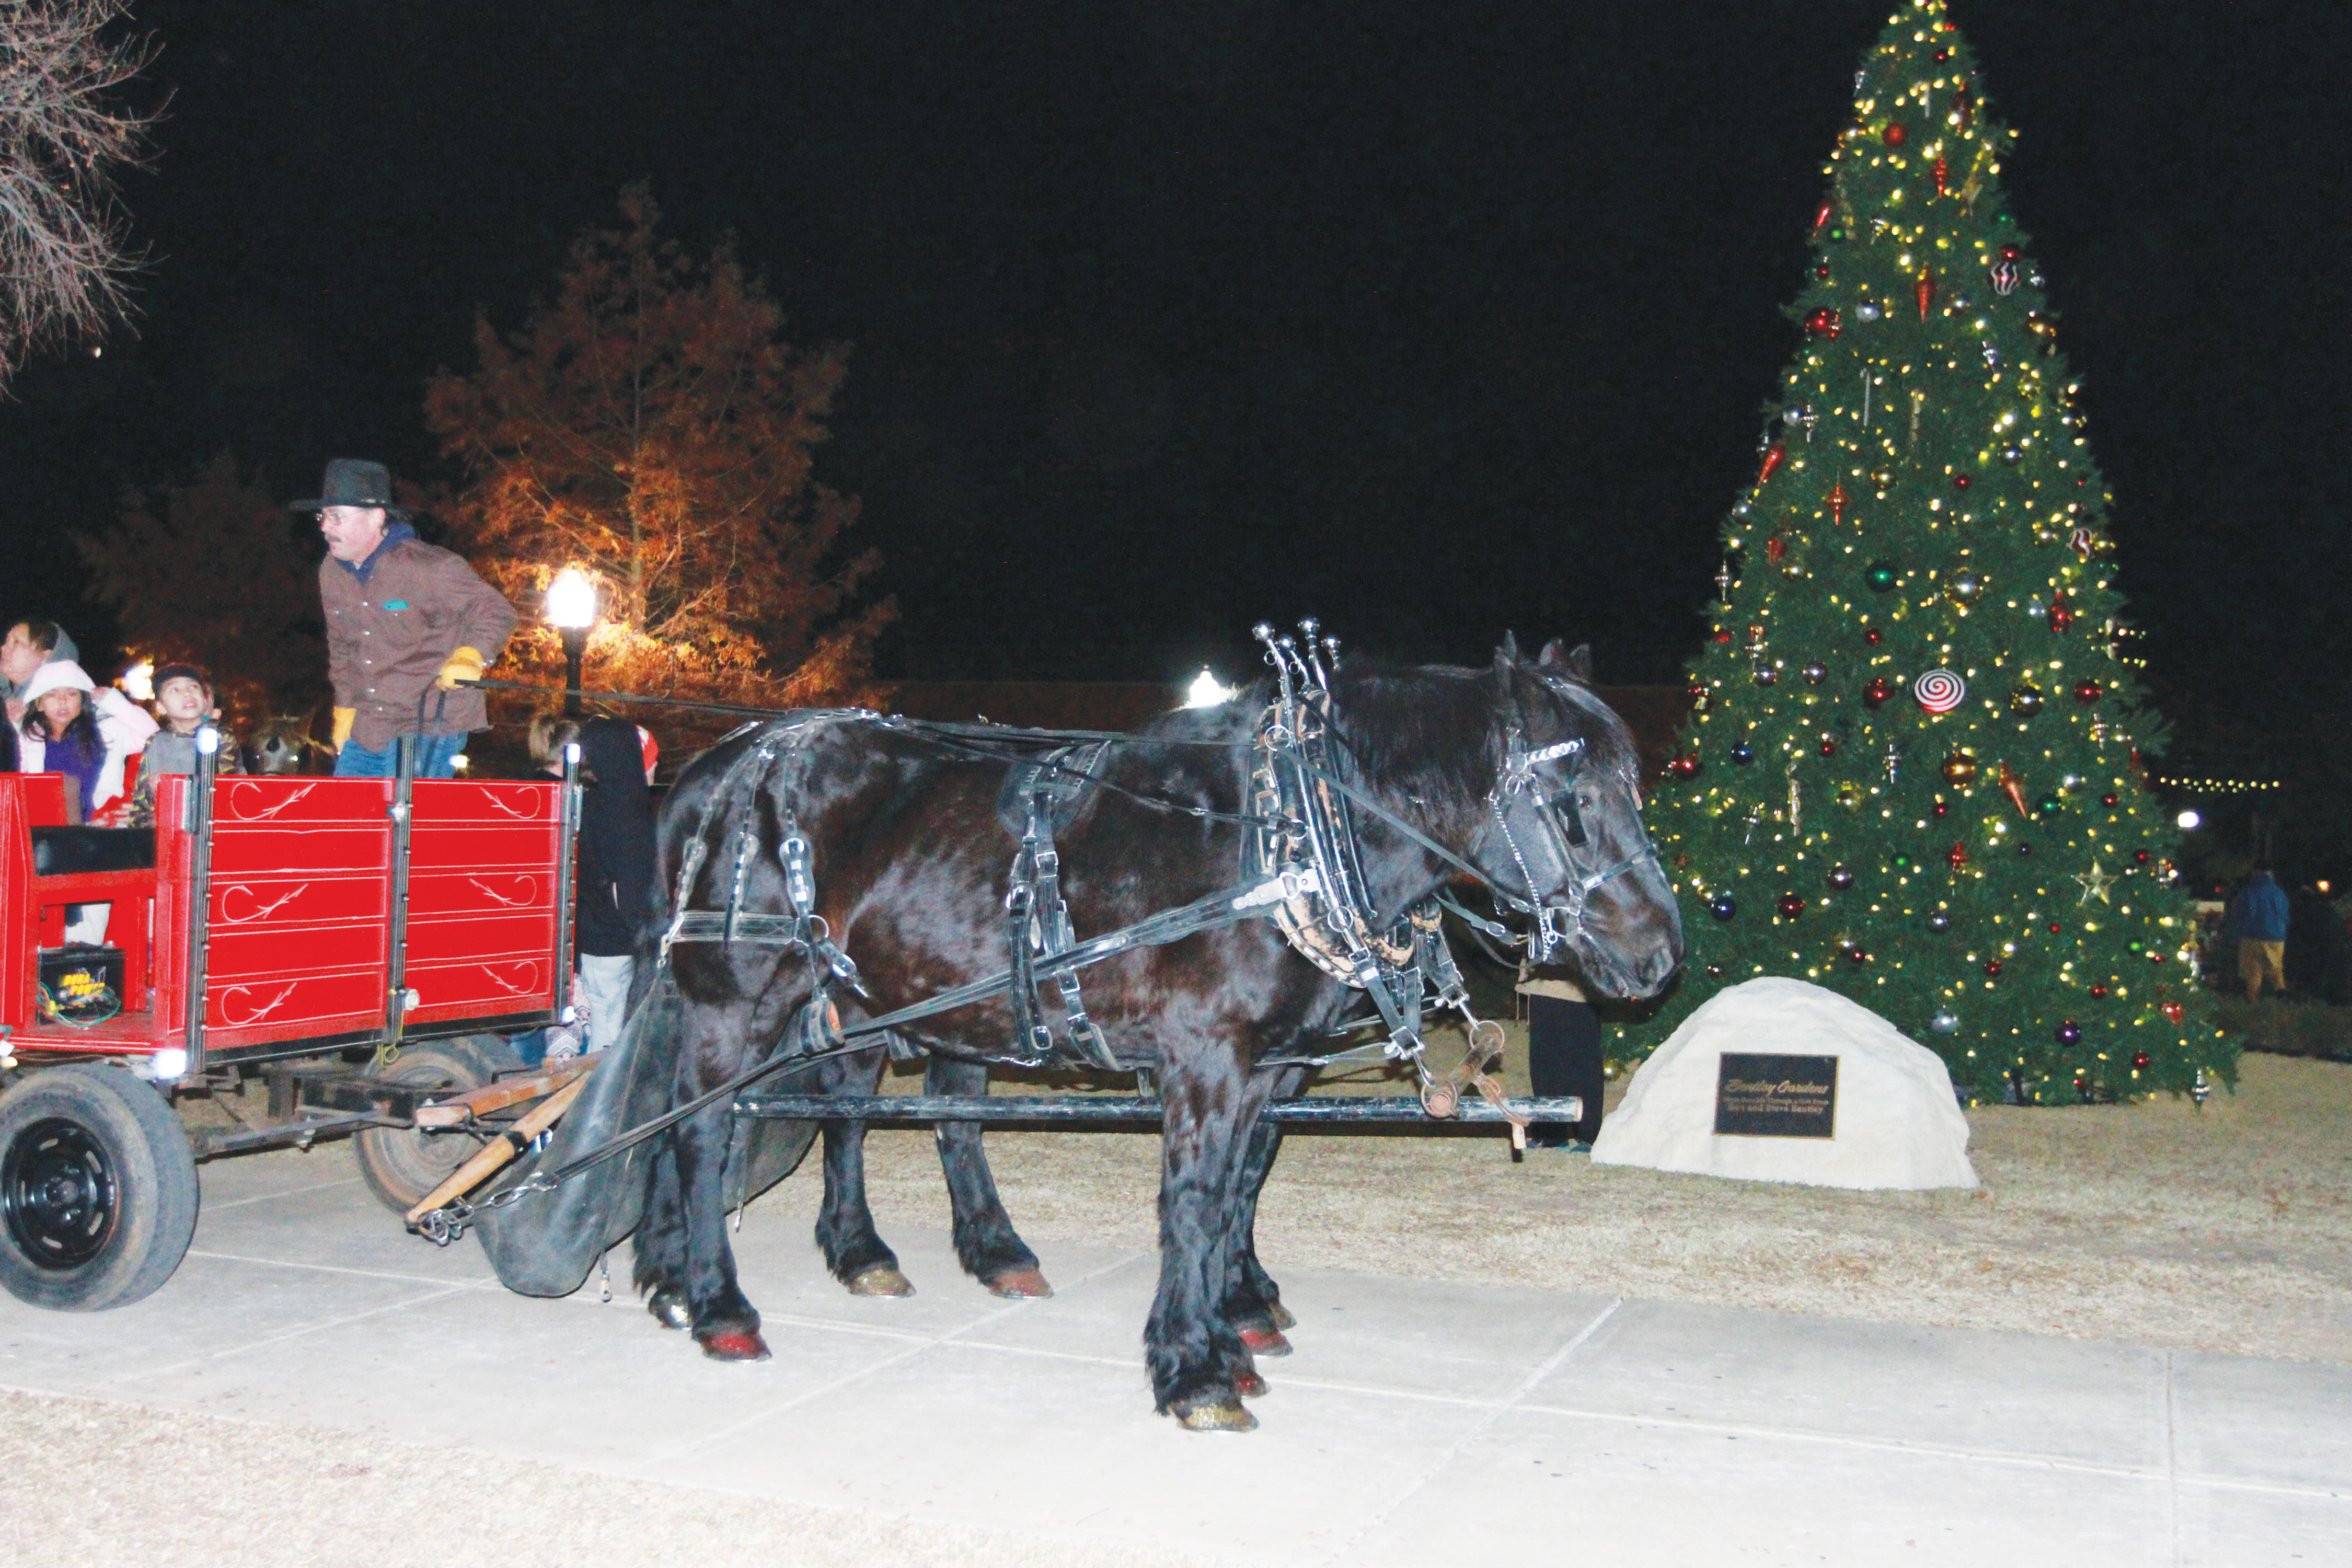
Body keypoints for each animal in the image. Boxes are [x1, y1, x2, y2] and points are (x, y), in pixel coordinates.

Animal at [635, 639, 1684, 1438]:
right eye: (1572, 804)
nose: (1661, 954)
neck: (1283, 840)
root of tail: (720, 764)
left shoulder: (1269, 1068)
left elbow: (1238, 1192)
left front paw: (1235, 1326)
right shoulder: (1210, 1063)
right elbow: (1194, 1202)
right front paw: (1196, 1369)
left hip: (882, 998)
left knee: (862, 1112)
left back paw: (860, 1257)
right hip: (738, 995)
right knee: (700, 1125)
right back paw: (717, 1302)